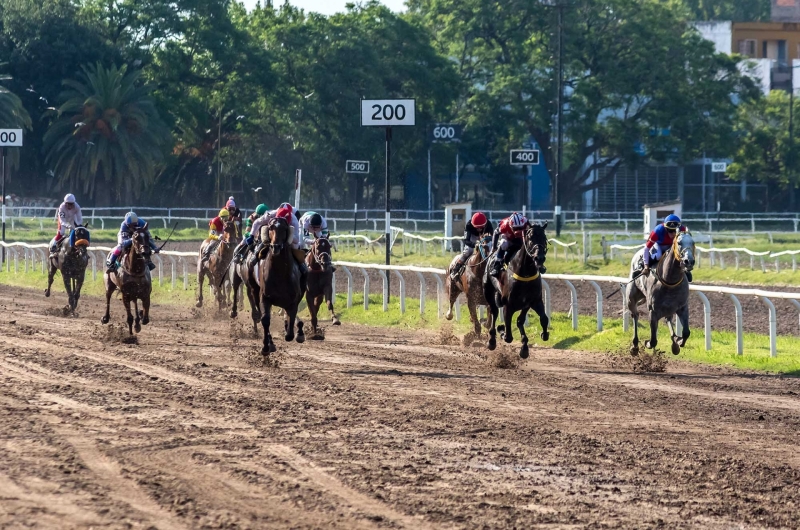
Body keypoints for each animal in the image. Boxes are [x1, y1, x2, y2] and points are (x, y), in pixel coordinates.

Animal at [258, 217, 304, 352]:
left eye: (284, 229)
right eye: (271, 228)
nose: (275, 247)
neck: (279, 272)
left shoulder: (293, 300)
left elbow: (290, 330)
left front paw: (295, 333)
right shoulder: (265, 297)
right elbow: (265, 320)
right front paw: (266, 346)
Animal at [482, 221, 552, 356]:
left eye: (544, 238)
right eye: (530, 238)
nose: (540, 258)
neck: (525, 273)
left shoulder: (533, 301)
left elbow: (542, 318)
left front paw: (541, 335)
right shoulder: (508, 305)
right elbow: (508, 336)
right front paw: (502, 330)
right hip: (488, 291)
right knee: (494, 311)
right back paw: (492, 339)